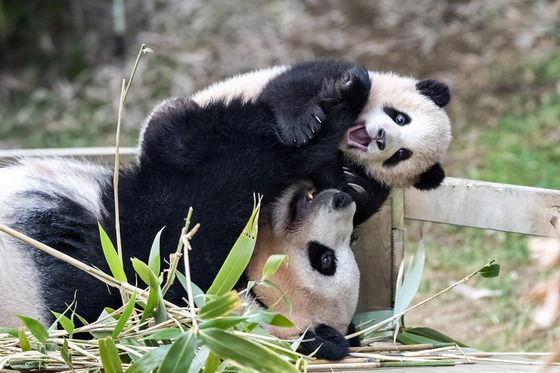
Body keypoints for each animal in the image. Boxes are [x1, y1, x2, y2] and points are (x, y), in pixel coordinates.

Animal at [191, 61, 450, 222]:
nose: (381, 138)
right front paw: (302, 126)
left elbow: (350, 203)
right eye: (401, 118)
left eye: (401, 154)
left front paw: (356, 182)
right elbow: (290, 88)